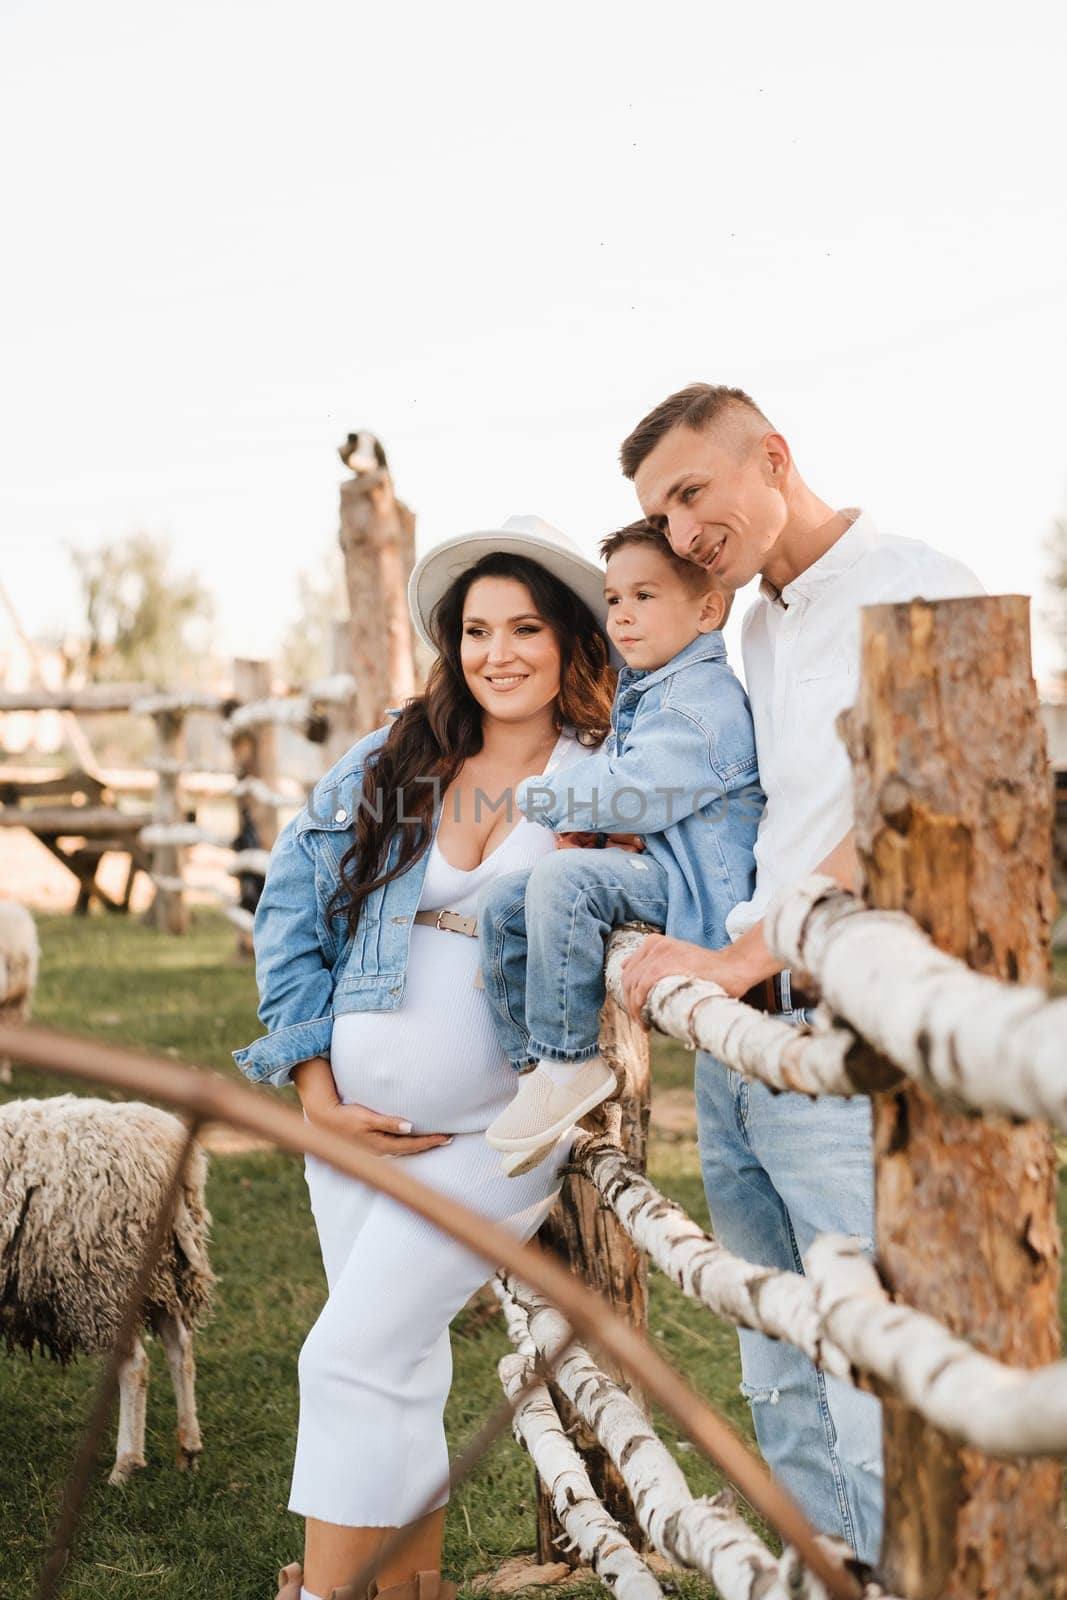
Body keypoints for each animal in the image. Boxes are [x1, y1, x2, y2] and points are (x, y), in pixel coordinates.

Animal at [0, 1094, 217, 1478]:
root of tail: (173, 1160)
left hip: (104, 1281)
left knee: (134, 1365)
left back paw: (125, 1464)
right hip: (158, 1275)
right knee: (180, 1348)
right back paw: (188, 1448)